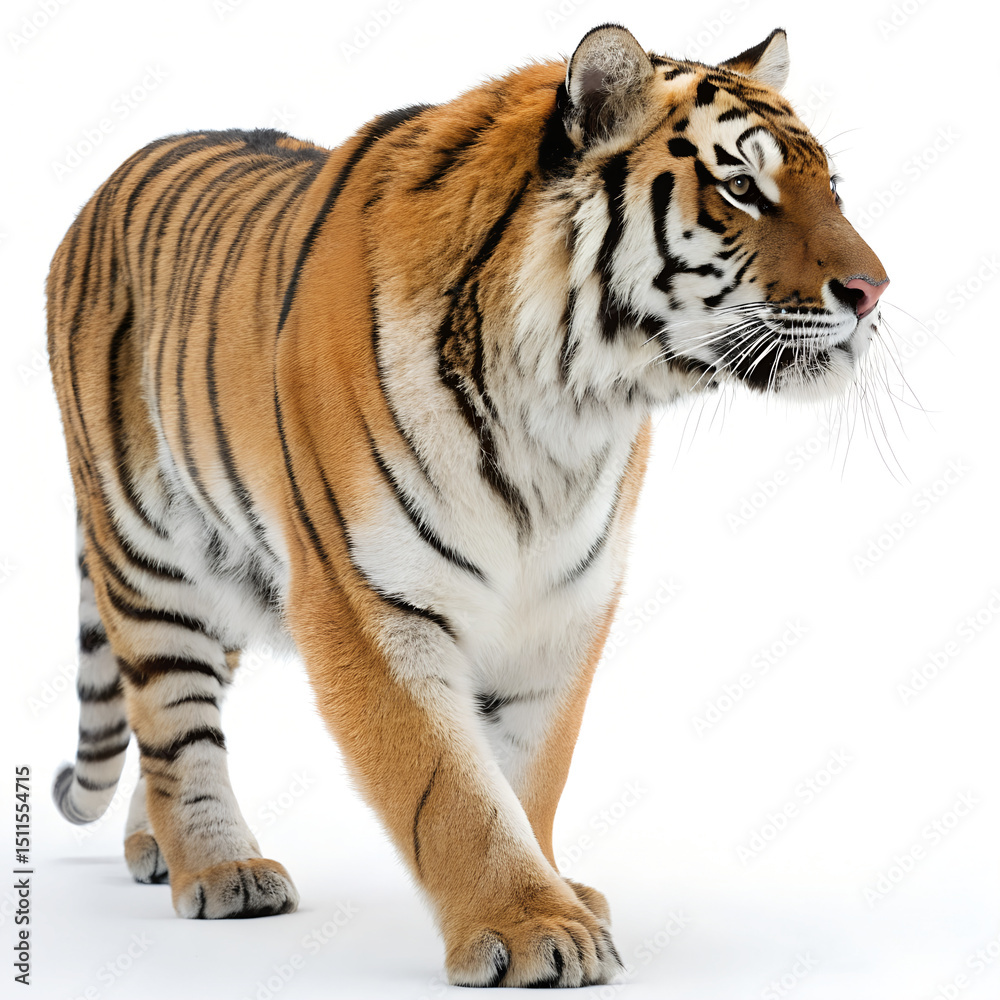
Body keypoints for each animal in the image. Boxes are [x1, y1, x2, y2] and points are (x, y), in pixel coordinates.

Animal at [46, 23, 887, 988]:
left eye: (832, 187)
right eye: (742, 187)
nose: (875, 291)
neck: (568, 405)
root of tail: (106, 185)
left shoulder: (563, 601)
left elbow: (527, 772)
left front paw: (557, 891)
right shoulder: (364, 598)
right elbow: (446, 784)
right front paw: (532, 929)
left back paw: (156, 850)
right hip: (149, 560)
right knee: (173, 722)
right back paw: (221, 869)